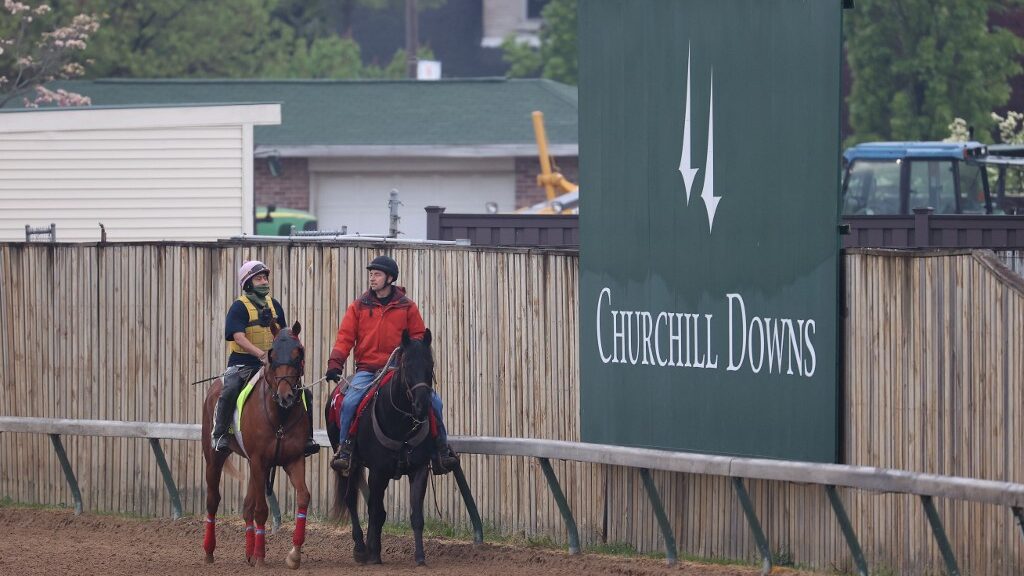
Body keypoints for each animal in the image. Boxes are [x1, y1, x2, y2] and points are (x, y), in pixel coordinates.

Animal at [200, 319, 309, 565]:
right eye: (272, 354)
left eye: (298, 352)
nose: (286, 396)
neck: (280, 417)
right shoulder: (260, 461)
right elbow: (261, 510)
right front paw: (260, 556)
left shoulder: (293, 459)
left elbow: (303, 498)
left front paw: (295, 554)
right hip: (214, 458)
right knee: (212, 500)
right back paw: (209, 551)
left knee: (247, 506)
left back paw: (249, 551)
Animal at [327, 330, 436, 561]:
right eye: (407, 364)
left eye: (430, 364)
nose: (422, 405)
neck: (400, 424)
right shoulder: (378, 471)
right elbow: (375, 511)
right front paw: (374, 553)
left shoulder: (419, 469)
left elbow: (416, 515)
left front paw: (420, 557)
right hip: (350, 464)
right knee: (351, 499)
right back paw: (361, 547)